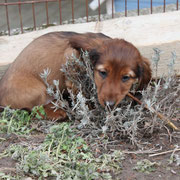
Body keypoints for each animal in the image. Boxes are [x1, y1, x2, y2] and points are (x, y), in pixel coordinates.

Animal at [0, 31, 151, 119]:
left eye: (125, 77)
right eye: (103, 73)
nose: (109, 105)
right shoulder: (70, 56)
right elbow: (79, 92)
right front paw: (89, 109)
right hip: (37, 90)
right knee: (35, 109)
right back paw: (58, 111)